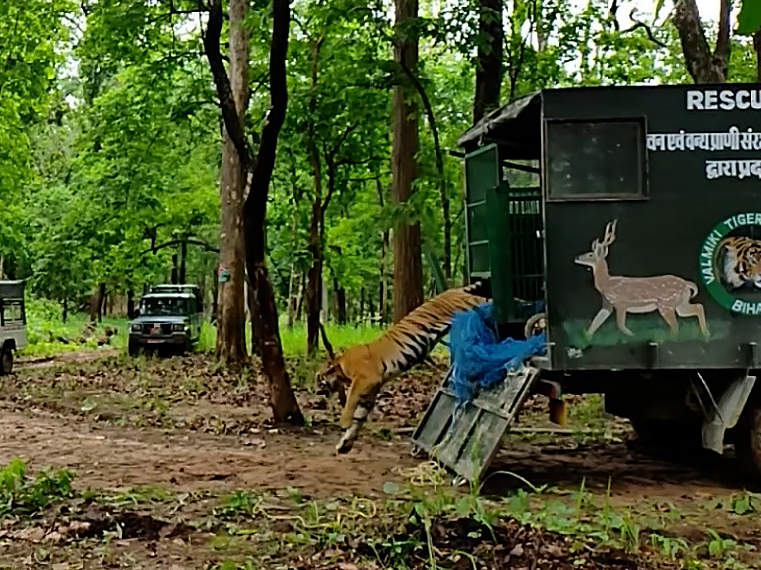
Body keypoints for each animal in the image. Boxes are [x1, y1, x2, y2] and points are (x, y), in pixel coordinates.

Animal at [316, 280, 486, 452]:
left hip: (468, 305)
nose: (316, 391)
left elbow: (350, 399)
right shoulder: (371, 390)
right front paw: (345, 443)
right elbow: (359, 417)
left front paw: (343, 422)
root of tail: (452, 291)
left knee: (485, 301)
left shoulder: (365, 379)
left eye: (319, 378)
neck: (341, 368)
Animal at [576, 220, 708, 338]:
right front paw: (586, 339)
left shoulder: (621, 302)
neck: (606, 283)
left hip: (666, 304)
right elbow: (594, 324)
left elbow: (620, 326)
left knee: (676, 326)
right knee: (698, 307)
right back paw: (706, 334)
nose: (577, 257)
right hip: (680, 303)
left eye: (590, 254)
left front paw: (633, 336)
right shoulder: (607, 304)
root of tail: (686, 284)